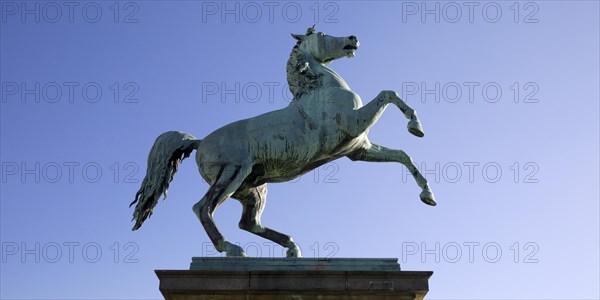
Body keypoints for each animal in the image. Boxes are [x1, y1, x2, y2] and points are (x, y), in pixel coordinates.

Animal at [129, 25, 436, 258]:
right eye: (321, 33)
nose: (353, 38)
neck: (320, 89)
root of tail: (200, 142)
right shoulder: (355, 124)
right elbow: (388, 93)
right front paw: (415, 126)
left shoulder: (359, 150)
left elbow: (403, 155)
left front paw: (428, 195)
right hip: (231, 175)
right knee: (203, 208)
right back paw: (232, 249)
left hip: (253, 188)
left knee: (249, 223)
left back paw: (291, 248)